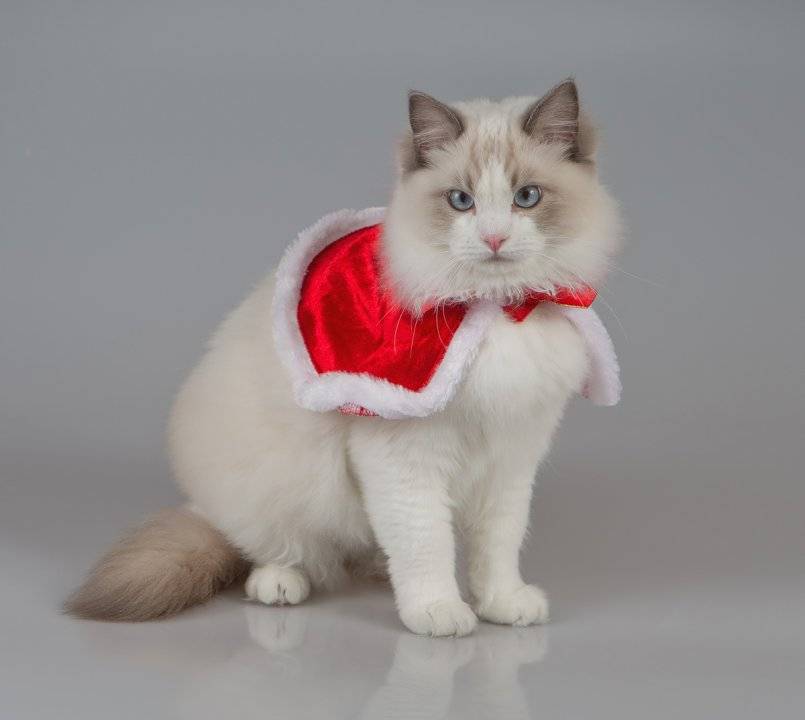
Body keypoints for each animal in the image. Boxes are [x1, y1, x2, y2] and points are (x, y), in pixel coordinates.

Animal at [66, 79, 622, 637]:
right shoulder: (403, 459)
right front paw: (437, 611)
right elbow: (426, 541)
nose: (494, 238)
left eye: (526, 197)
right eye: (460, 201)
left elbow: (499, 544)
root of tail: (206, 509)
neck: (496, 307)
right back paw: (281, 583)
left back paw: (375, 569)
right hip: (279, 477)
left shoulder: (513, 455)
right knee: (270, 547)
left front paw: (502, 604)